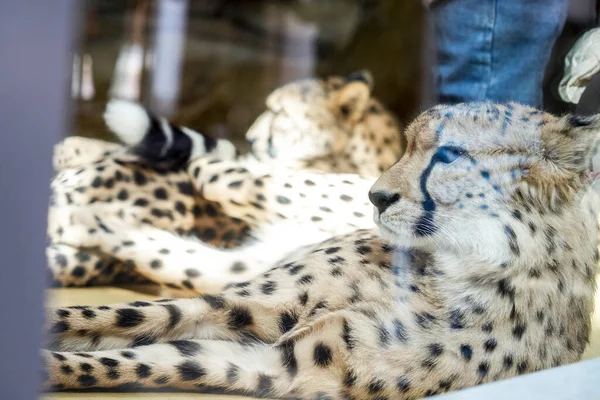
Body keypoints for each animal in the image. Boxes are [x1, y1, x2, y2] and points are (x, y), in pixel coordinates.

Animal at [43, 104, 600, 400]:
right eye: (406, 145)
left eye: (449, 154)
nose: (376, 196)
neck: (450, 269)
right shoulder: (241, 304)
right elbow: (105, 316)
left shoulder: (276, 364)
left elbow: (130, 360)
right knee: (218, 170)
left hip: (206, 263)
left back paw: (87, 218)